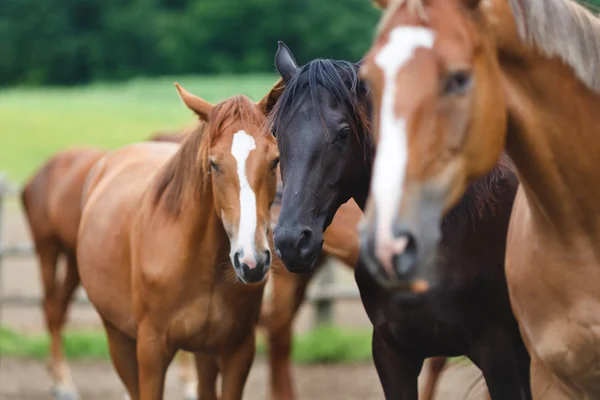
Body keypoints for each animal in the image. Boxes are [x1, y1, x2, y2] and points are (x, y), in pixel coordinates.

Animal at [76, 83, 280, 398]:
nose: (252, 261)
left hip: (205, 352)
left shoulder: (239, 350)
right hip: (118, 339)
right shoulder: (151, 351)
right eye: (214, 164)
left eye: (274, 161)